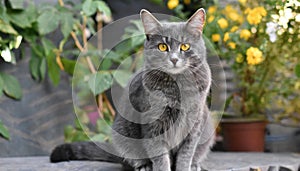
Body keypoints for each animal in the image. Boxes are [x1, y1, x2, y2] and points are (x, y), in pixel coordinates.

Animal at [50, 8, 214, 171]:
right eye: (162, 47)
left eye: (185, 46)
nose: (174, 59)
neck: (178, 86)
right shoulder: (153, 126)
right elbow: (161, 158)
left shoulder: (194, 123)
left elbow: (186, 155)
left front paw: (186, 166)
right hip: (122, 133)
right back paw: (144, 166)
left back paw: (195, 165)